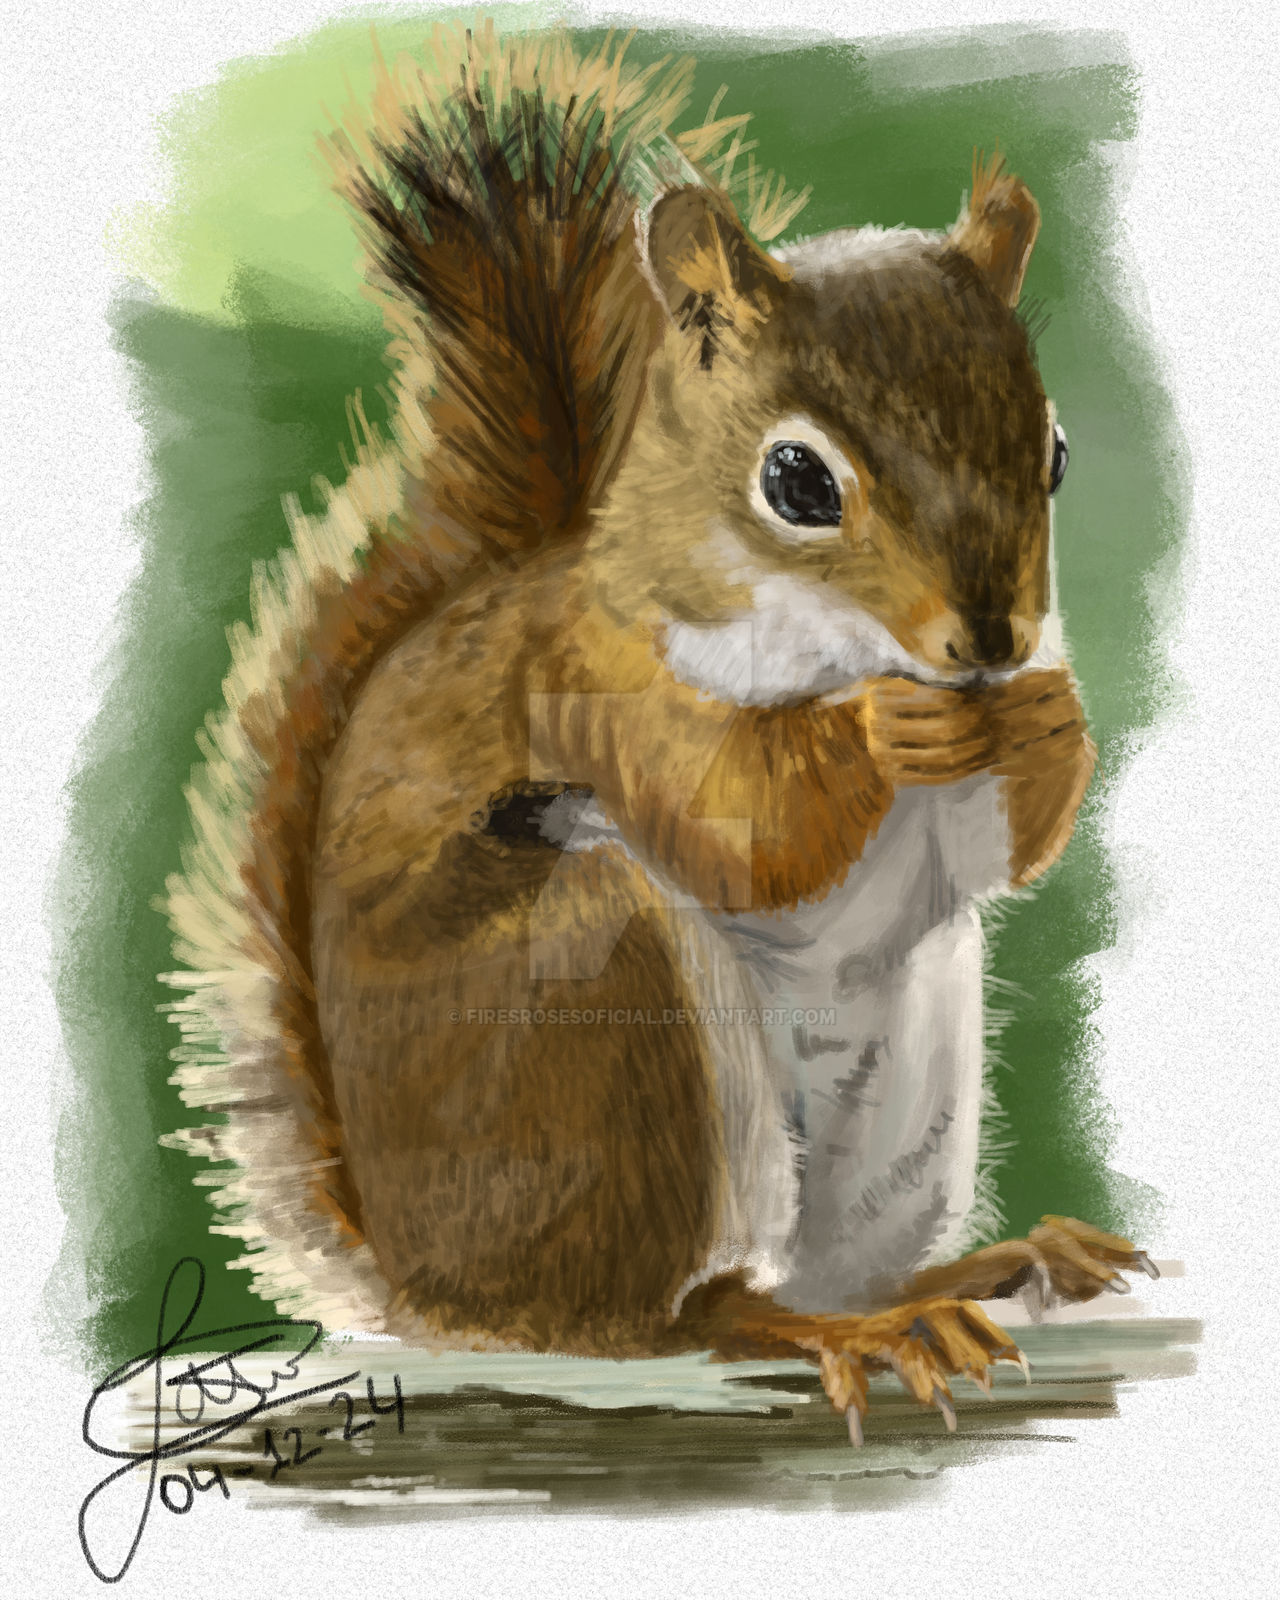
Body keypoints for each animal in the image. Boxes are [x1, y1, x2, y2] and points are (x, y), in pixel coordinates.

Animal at [161, 22, 1158, 1443]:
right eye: (796, 480)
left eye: (1056, 452)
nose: (989, 639)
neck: (825, 641)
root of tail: (436, 1289)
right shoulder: (595, 683)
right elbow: (742, 828)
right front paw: (877, 726)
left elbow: (994, 848)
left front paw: (1037, 715)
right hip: (606, 1025)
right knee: (679, 1318)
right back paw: (840, 1327)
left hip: (908, 1090)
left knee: (817, 1269)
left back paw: (980, 1270)